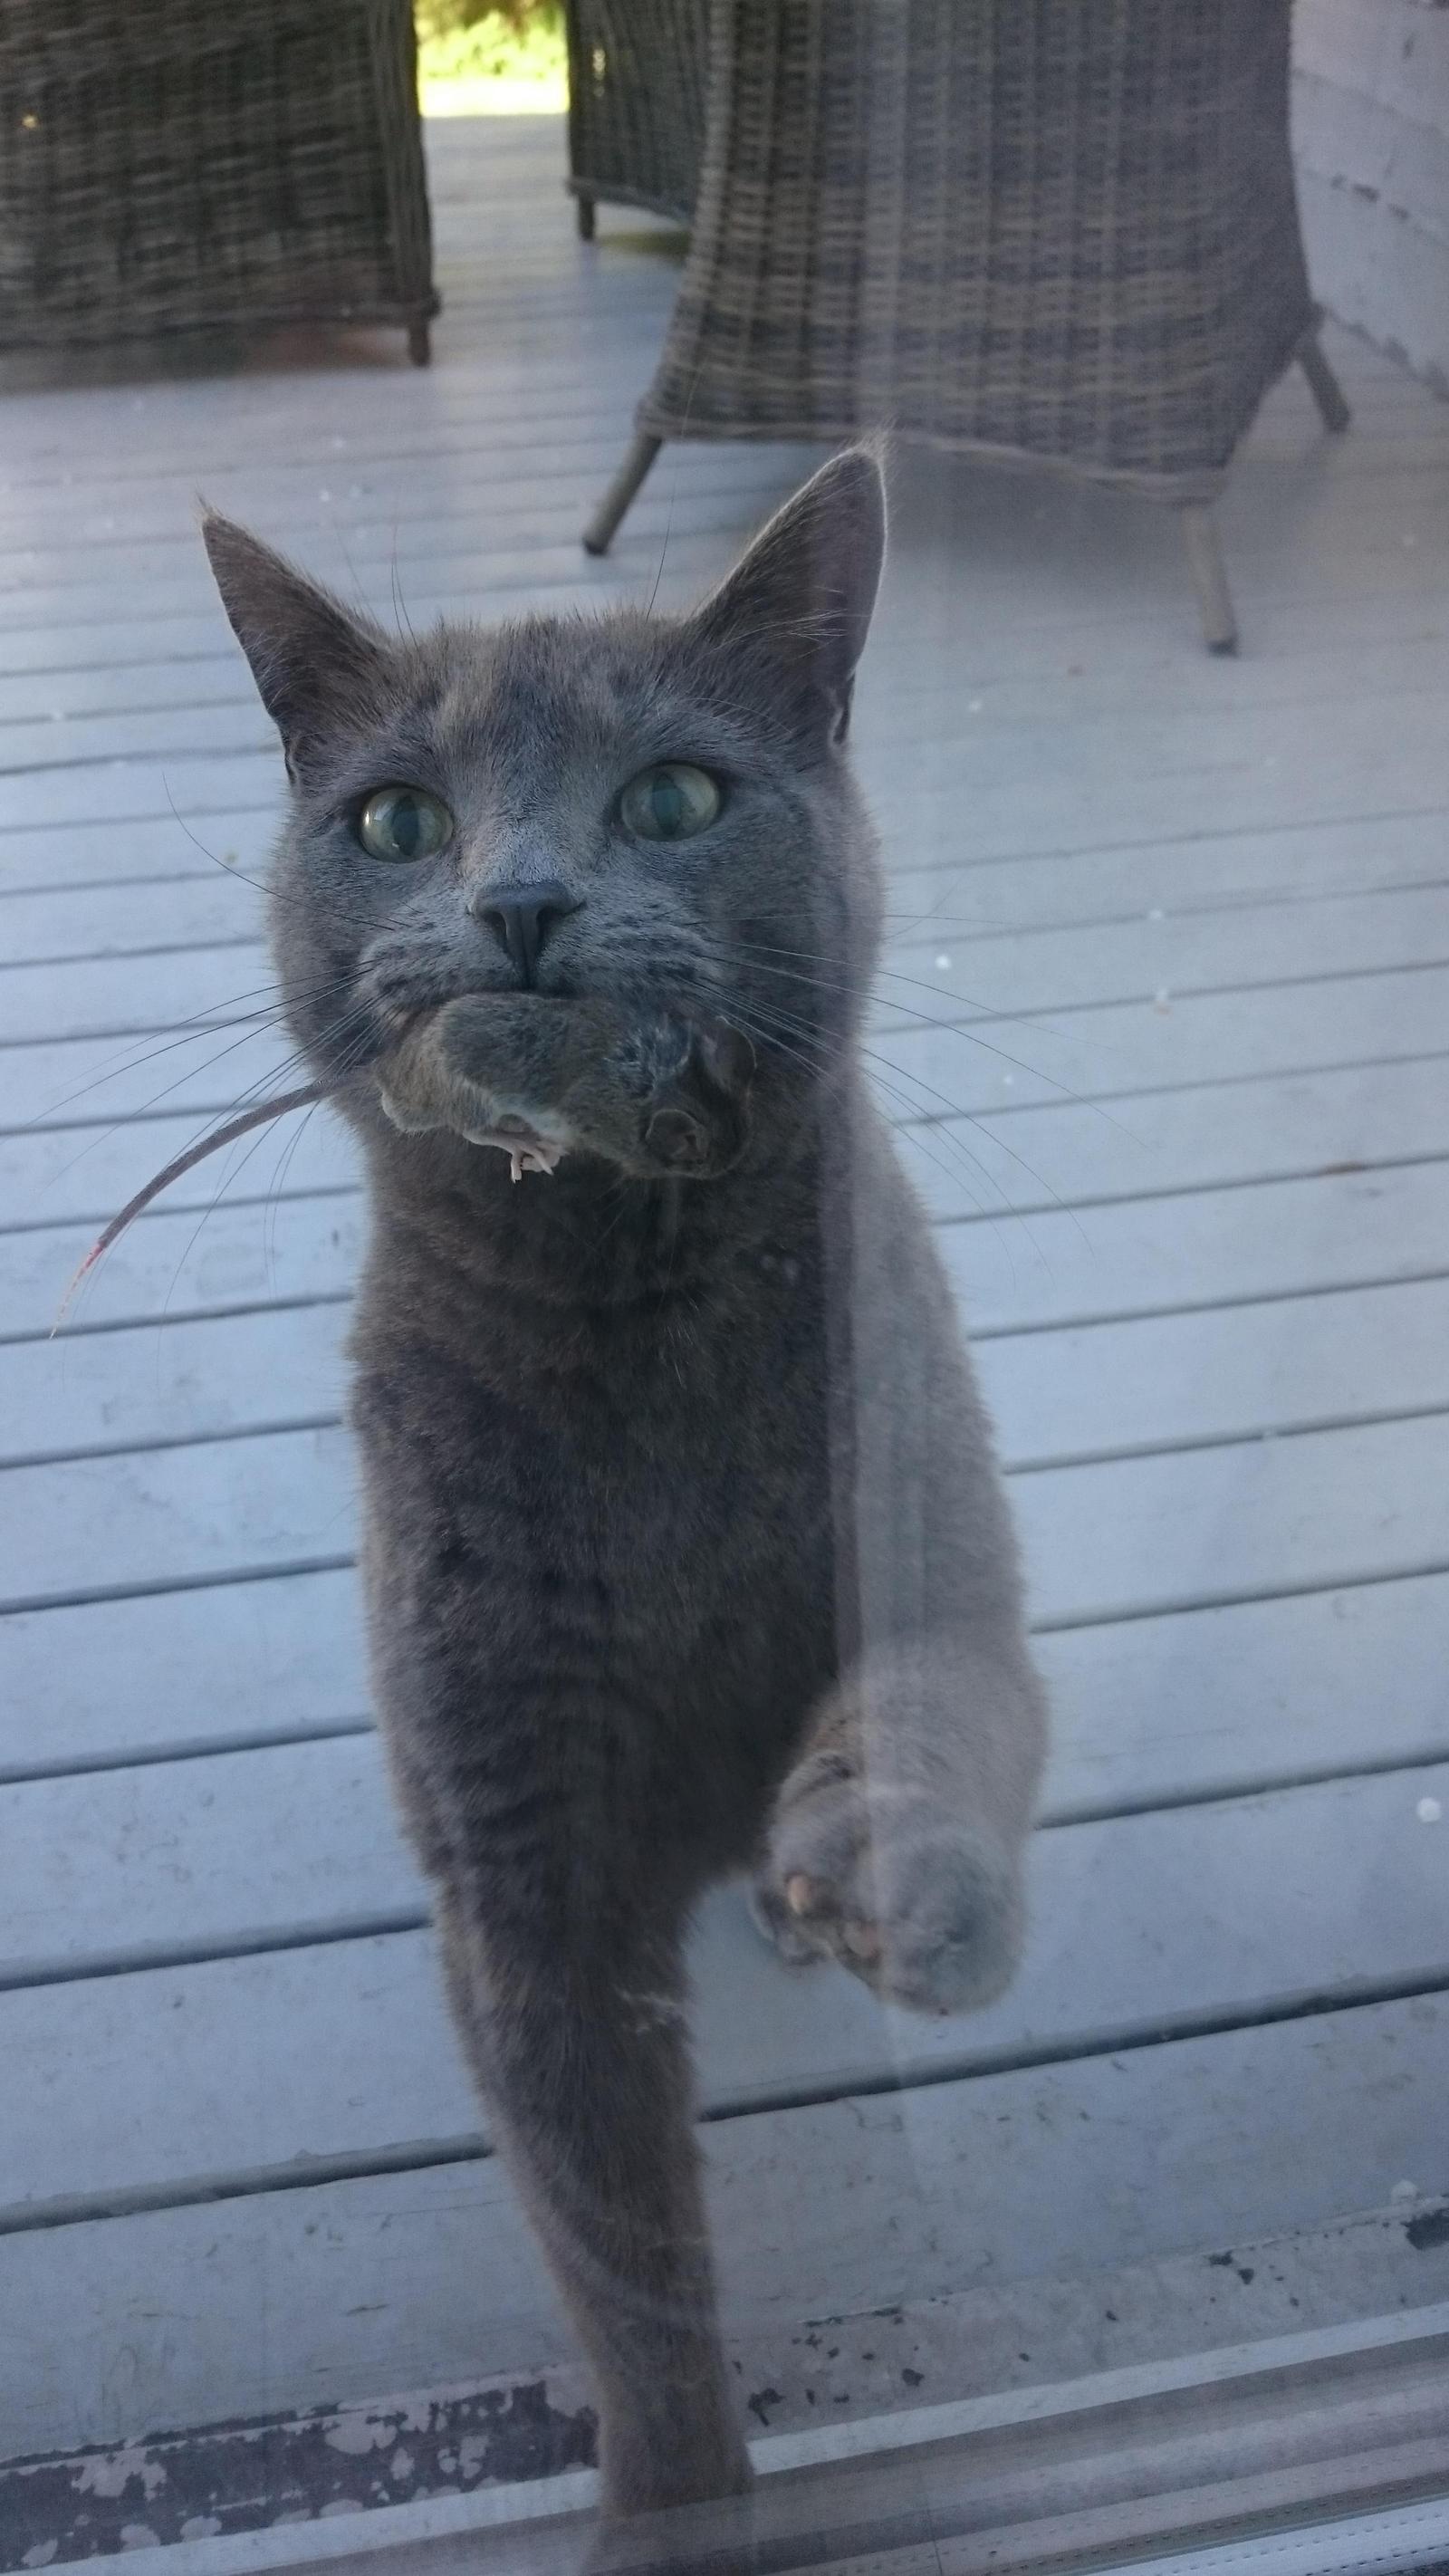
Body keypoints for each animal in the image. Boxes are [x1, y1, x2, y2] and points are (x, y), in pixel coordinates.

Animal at [200, 458, 1044, 2534]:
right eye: (395, 821)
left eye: (671, 797)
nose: (517, 901)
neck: (622, 1300)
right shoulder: (520, 1854)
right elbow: (621, 2249)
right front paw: (680, 2501)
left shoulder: (944, 1558)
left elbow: (951, 1697)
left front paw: (895, 1870)